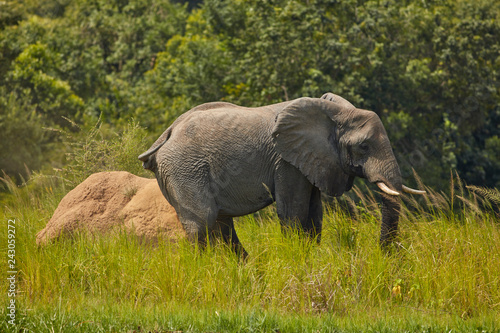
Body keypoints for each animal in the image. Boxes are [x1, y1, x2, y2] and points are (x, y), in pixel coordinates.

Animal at [139, 92, 424, 255]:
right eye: (364, 146)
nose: (385, 256)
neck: (336, 113)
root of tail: (166, 134)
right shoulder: (286, 161)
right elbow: (293, 212)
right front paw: (295, 258)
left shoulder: (311, 160)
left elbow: (314, 214)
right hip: (185, 169)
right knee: (202, 222)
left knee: (222, 224)